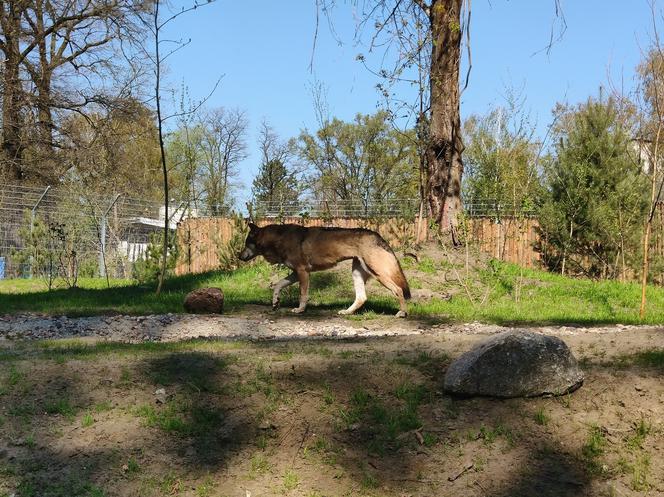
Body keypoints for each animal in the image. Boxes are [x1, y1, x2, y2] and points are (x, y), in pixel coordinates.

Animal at [239, 223, 410, 316]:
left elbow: (303, 295)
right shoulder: (295, 273)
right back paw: (346, 312)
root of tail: (376, 235)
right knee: (362, 298)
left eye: (247, 243)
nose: (239, 257)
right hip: (357, 273)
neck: (278, 239)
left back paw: (402, 313)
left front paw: (300, 310)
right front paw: (275, 302)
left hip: (378, 274)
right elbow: (278, 285)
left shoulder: (302, 272)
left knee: (398, 290)